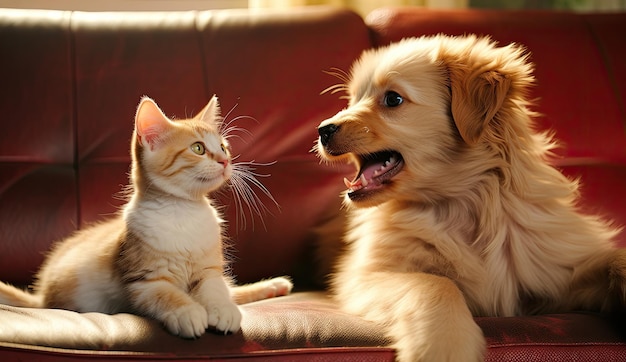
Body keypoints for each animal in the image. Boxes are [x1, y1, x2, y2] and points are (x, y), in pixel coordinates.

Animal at [0, 96, 292, 340]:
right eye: (198, 148)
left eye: (223, 147)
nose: (225, 161)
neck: (183, 212)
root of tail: (41, 299)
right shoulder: (144, 281)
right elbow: (167, 295)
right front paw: (187, 312)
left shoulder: (209, 270)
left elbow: (215, 289)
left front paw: (222, 309)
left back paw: (273, 287)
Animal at [314, 34, 620, 362]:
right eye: (353, 99)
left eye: (393, 99)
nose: (322, 130)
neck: (459, 205)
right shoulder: (360, 277)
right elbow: (435, 281)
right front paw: (443, 345)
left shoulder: (553, 277)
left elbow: (616, 258)